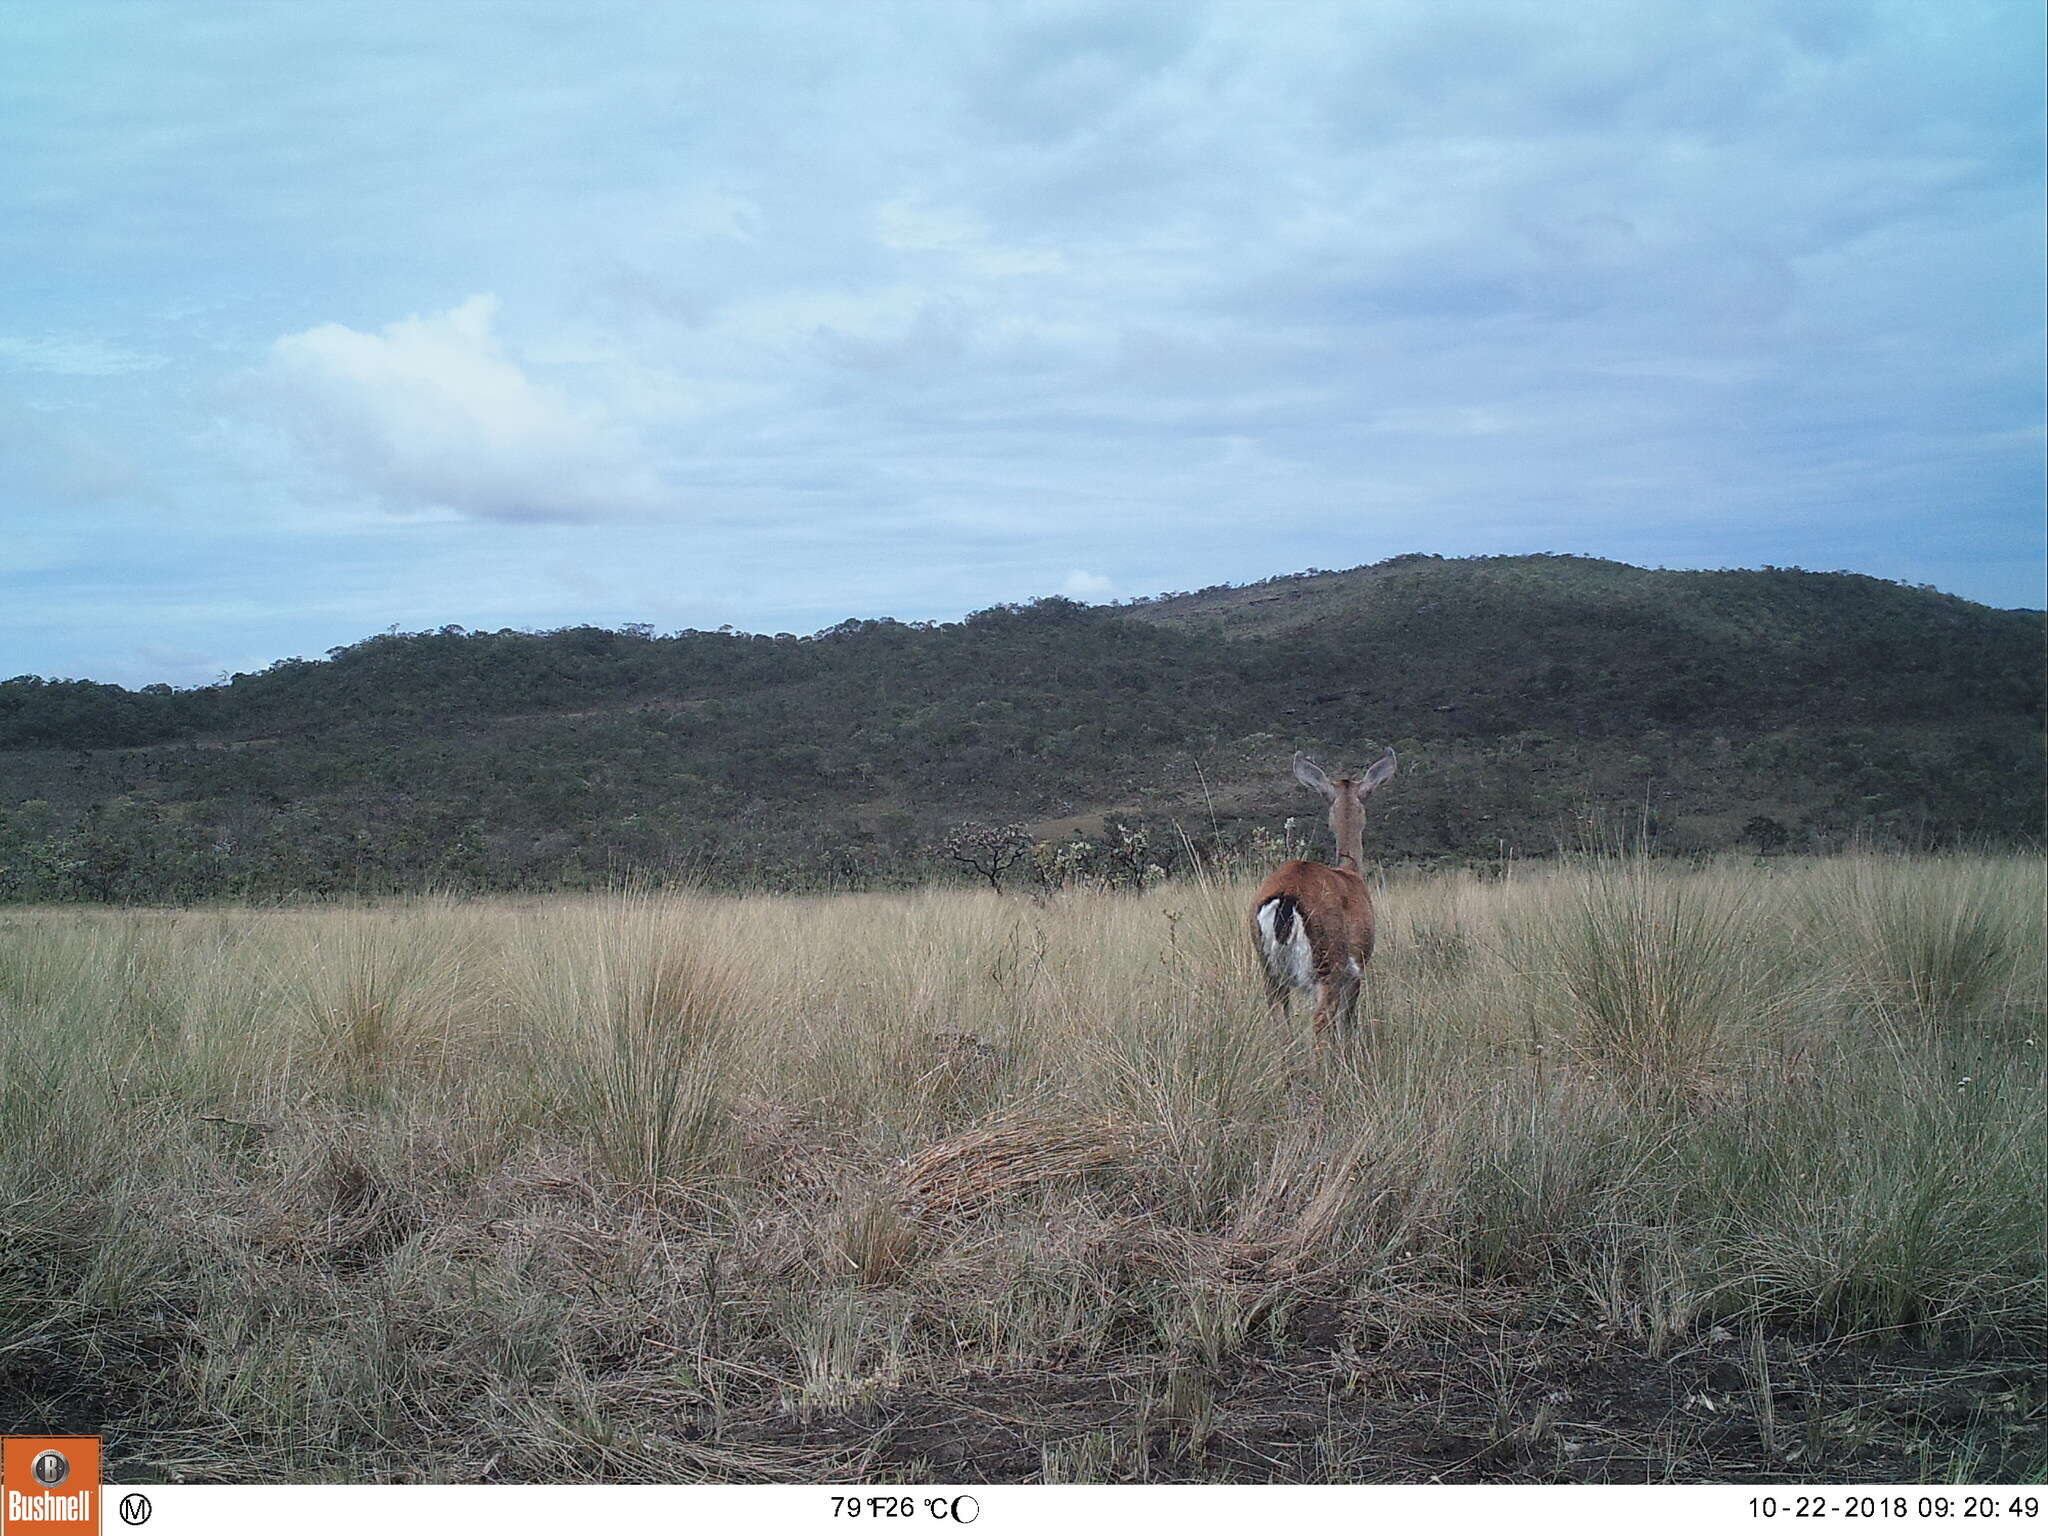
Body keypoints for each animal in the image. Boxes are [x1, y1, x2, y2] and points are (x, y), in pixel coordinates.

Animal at [1245, 753, 1392, 1040]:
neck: (1350, 871)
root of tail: (1285, 899)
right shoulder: (1356, 969)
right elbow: (1348, 1022)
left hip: (1270, 973)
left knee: (1280, 1023)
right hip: (1326, 969)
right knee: (1320, 1022)